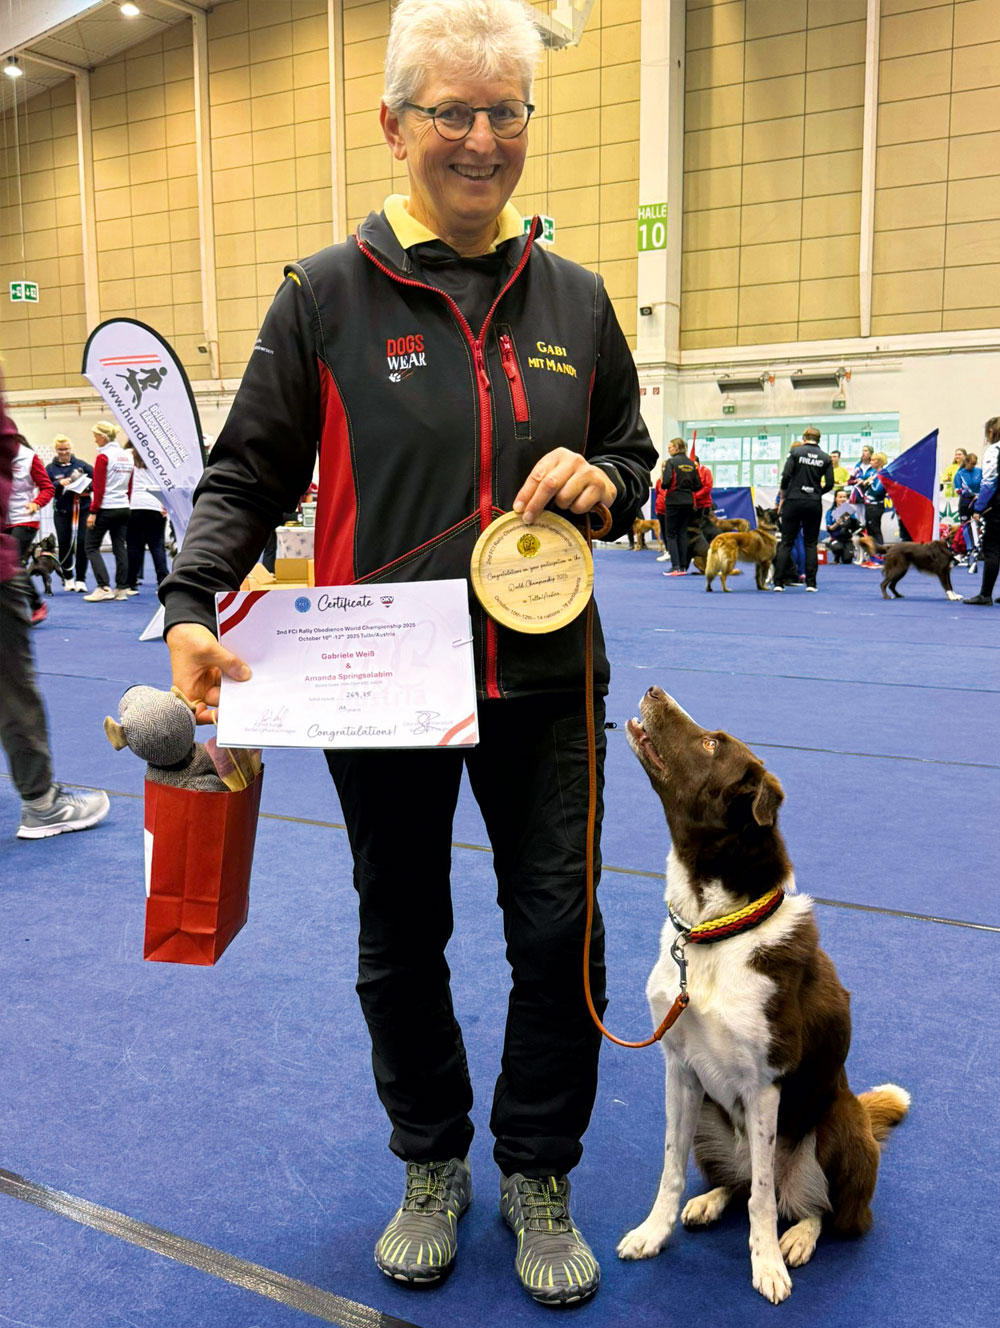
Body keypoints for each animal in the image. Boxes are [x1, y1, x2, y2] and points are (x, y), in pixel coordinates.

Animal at [617, 687, 909, 1303]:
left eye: (711, 744)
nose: (654, 690)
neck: (712, 931)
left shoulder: (765, 1082)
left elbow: (762, 1201)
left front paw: (767, 1263)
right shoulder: (679, 1068)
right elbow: (671, 1168)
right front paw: (654, 1232)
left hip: (838, 1126)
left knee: (822, 1208)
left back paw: (797, 1238)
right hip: (710, 1114)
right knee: (743, 1180)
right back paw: (708, 1201)